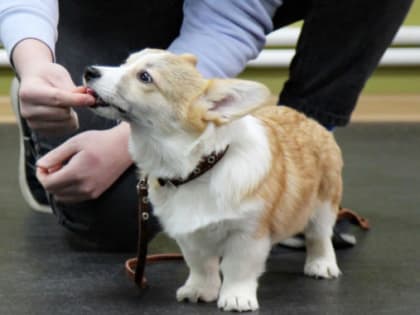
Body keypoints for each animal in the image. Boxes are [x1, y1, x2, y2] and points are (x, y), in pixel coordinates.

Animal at [83, 49, 342, 314]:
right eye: (125, 63)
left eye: (145, 77)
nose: (89, 71)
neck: (198, 169)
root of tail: (308, 119)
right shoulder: (189, 235)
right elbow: (201, 265)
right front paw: (200, 290)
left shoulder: (248, 233)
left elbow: (238, 268)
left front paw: (237, 298)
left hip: (324, 203)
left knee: (320, 235)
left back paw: (322, 264)